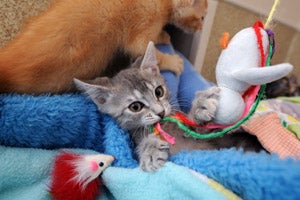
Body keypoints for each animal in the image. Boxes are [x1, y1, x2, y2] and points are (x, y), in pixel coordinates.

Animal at [0, 0, 207, 94]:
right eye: (202, 17)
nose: (201, 28)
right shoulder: (146, 20)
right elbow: (143, 48)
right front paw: (173, 61)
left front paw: (163, 35)